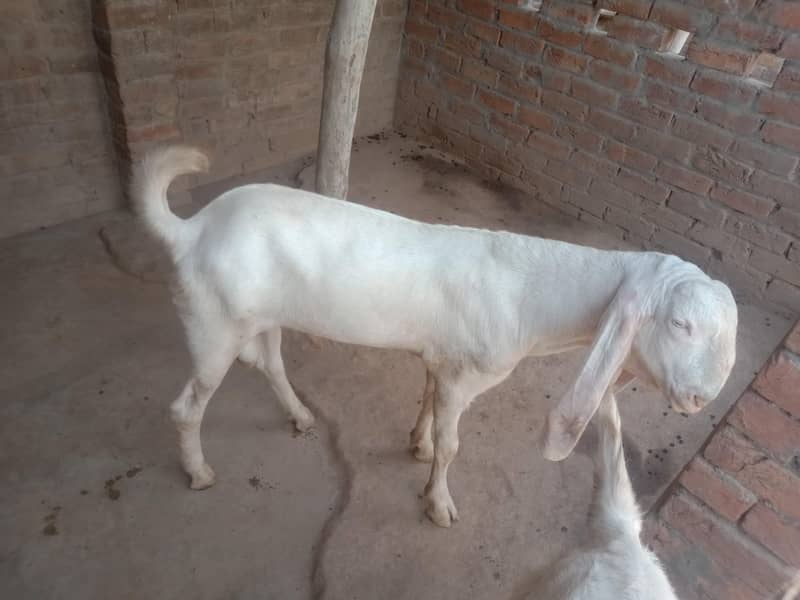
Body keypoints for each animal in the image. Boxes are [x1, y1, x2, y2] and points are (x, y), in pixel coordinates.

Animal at [132, 146, 738, 528]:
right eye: (679, 324)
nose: (700, 397)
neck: (531, 294)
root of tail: (190, 229)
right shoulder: (465, 375)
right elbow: (452, 446)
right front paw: (438, 503)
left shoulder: (440, 359)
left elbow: (425, 399)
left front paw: (416, 444)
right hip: (212, 326)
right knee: (187, 406)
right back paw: (199, 472)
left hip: (258, 318)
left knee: (269, 364)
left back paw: (300, 416)